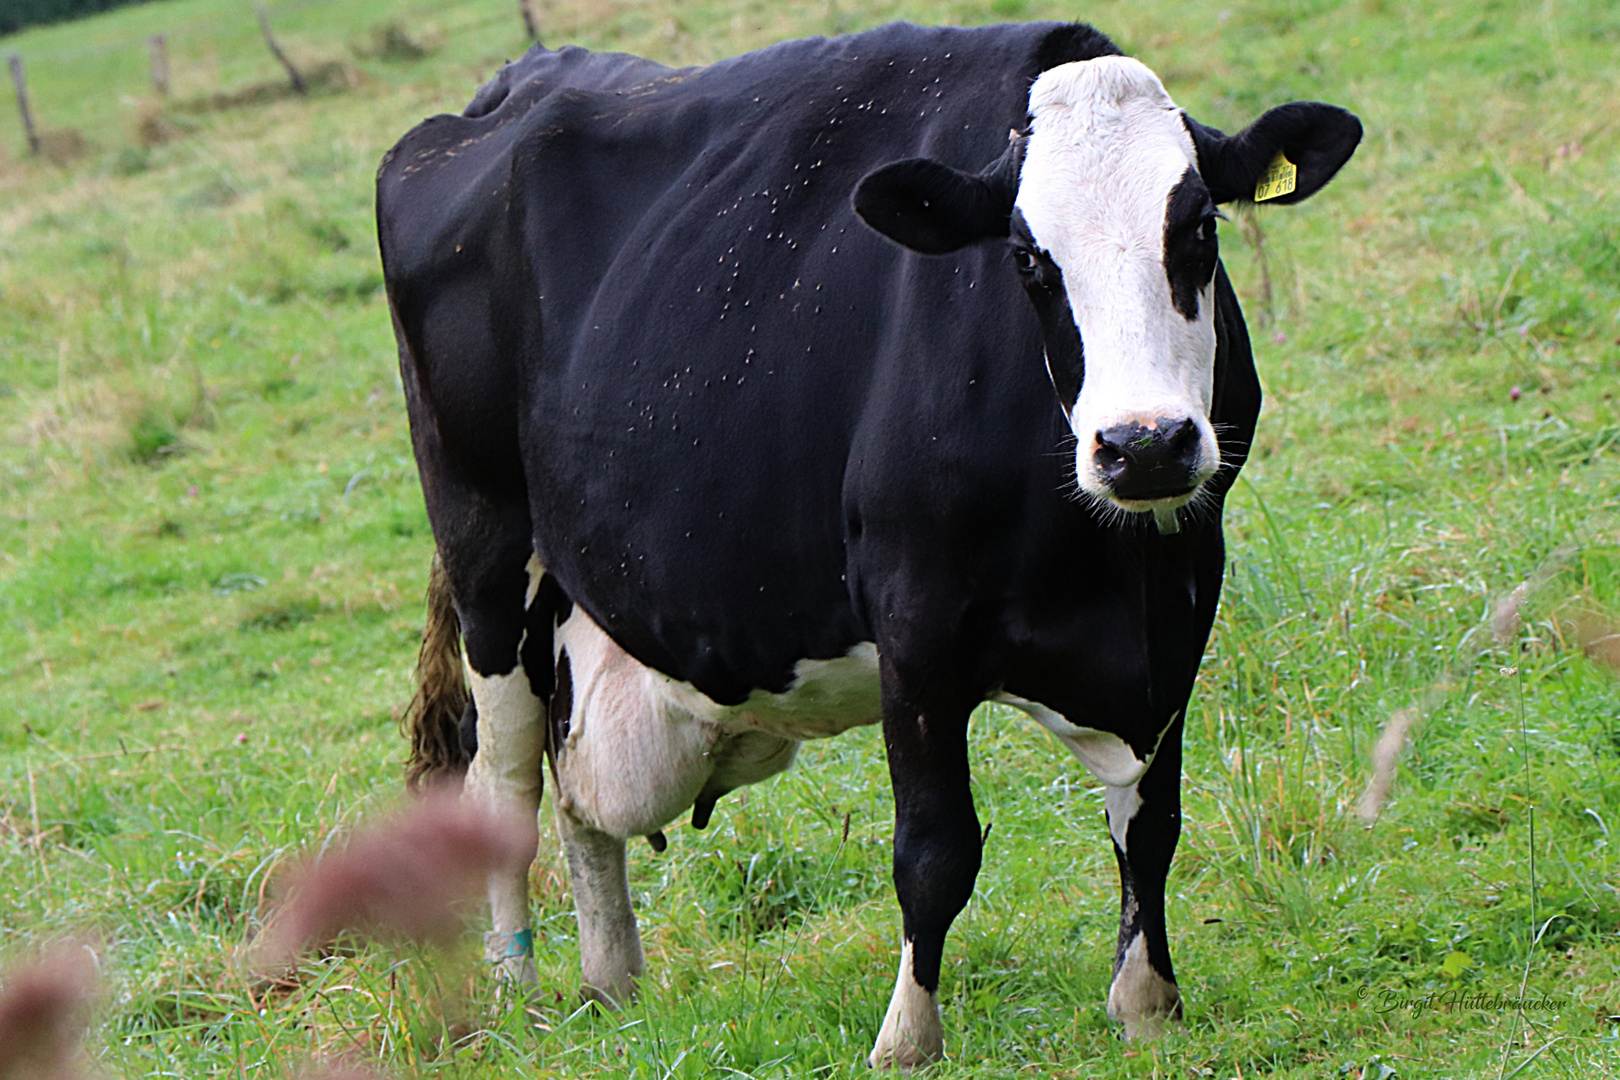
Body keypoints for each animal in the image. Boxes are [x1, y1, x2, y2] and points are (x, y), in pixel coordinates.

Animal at [375, 21, 1354, 1068]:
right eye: (1026, 260)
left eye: (1200, 226)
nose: (1143, 444)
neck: (1107, 575)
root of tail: (511, 83)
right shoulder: (914, 618)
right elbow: (935, 849)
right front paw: (907, 1036)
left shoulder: (1183, 594)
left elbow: (1153, 819)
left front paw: (1145, 999)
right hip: (484, 546)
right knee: (506, 778)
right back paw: (516, 987)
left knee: (576, 792)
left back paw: (612, 982)